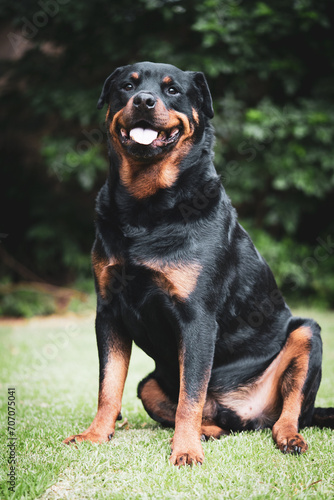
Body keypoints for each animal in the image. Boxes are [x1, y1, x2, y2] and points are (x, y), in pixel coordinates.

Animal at [64, 61, 332, 464]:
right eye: (127, 86)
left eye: (173, 91)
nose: (144, 101)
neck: (147, 208)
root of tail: (241, 411)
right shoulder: (108, 312)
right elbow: (108, 386)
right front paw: (96, 435)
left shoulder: (197, 317)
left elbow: (191, 395)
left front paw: (186, 452)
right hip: (150, 384)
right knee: (206, 416)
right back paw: (209, 431)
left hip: (307, 334)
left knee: (289, 410)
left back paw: (287, 437)